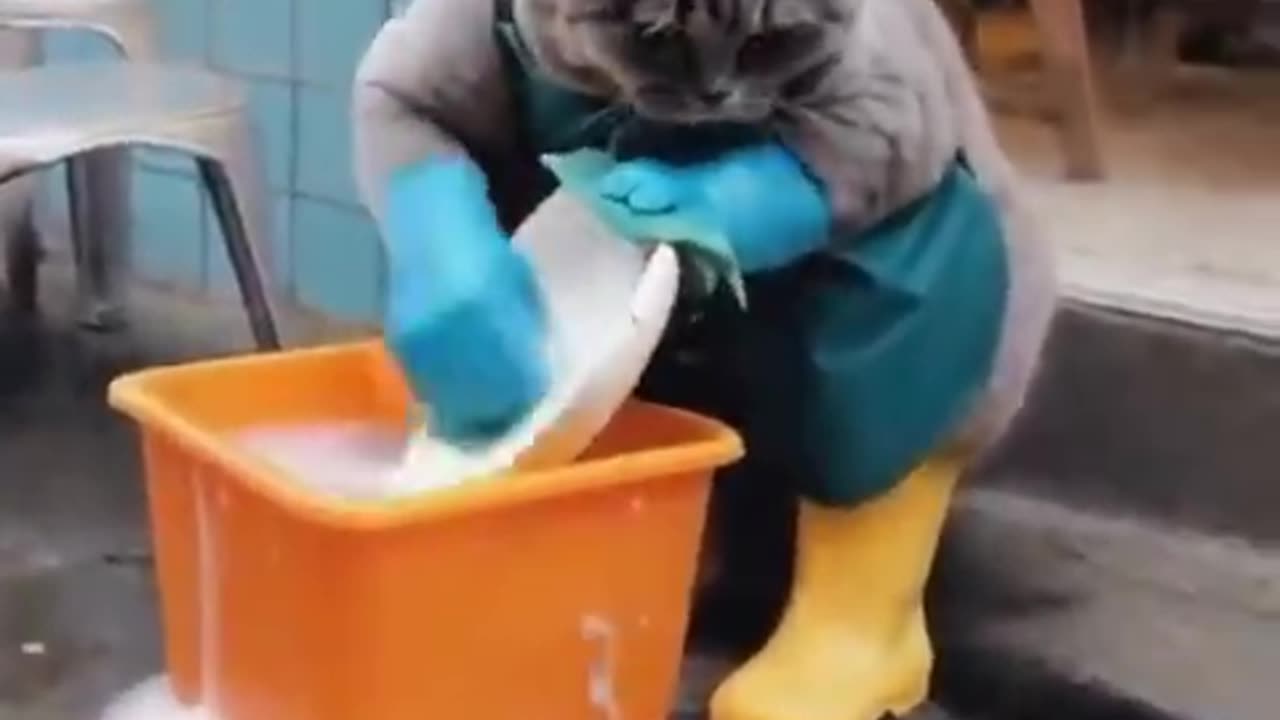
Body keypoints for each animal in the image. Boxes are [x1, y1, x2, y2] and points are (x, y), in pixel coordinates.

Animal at [355, 0, 1054, 448]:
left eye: (766, 43)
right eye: (656, 38)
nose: (715, 94)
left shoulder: (893, 105)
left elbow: (819, 160)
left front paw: (696, 201)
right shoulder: (416, 65)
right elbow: (408, 132)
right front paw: (471, 334)